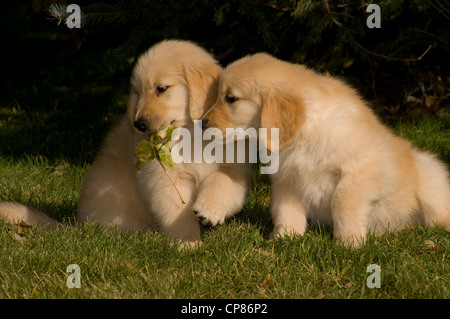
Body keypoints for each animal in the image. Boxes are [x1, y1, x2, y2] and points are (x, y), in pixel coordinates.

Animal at [0, 39, 253, 245]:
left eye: (161, 89)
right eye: (138, 93)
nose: (138, 124)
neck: (189, 134)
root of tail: (79, 225)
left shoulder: (233, 167)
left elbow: (222, 184)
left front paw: (208, 211)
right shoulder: (164, 178)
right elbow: (177, 211)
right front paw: (187, 243)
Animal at [204, 53, 450, 248]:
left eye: (231, 98)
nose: (202, 123)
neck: (307, 132)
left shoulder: (361, 169)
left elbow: (342, 200)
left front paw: (349, 243)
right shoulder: (287, 179)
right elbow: (286, 210)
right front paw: (284, 238)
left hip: (430, 175)